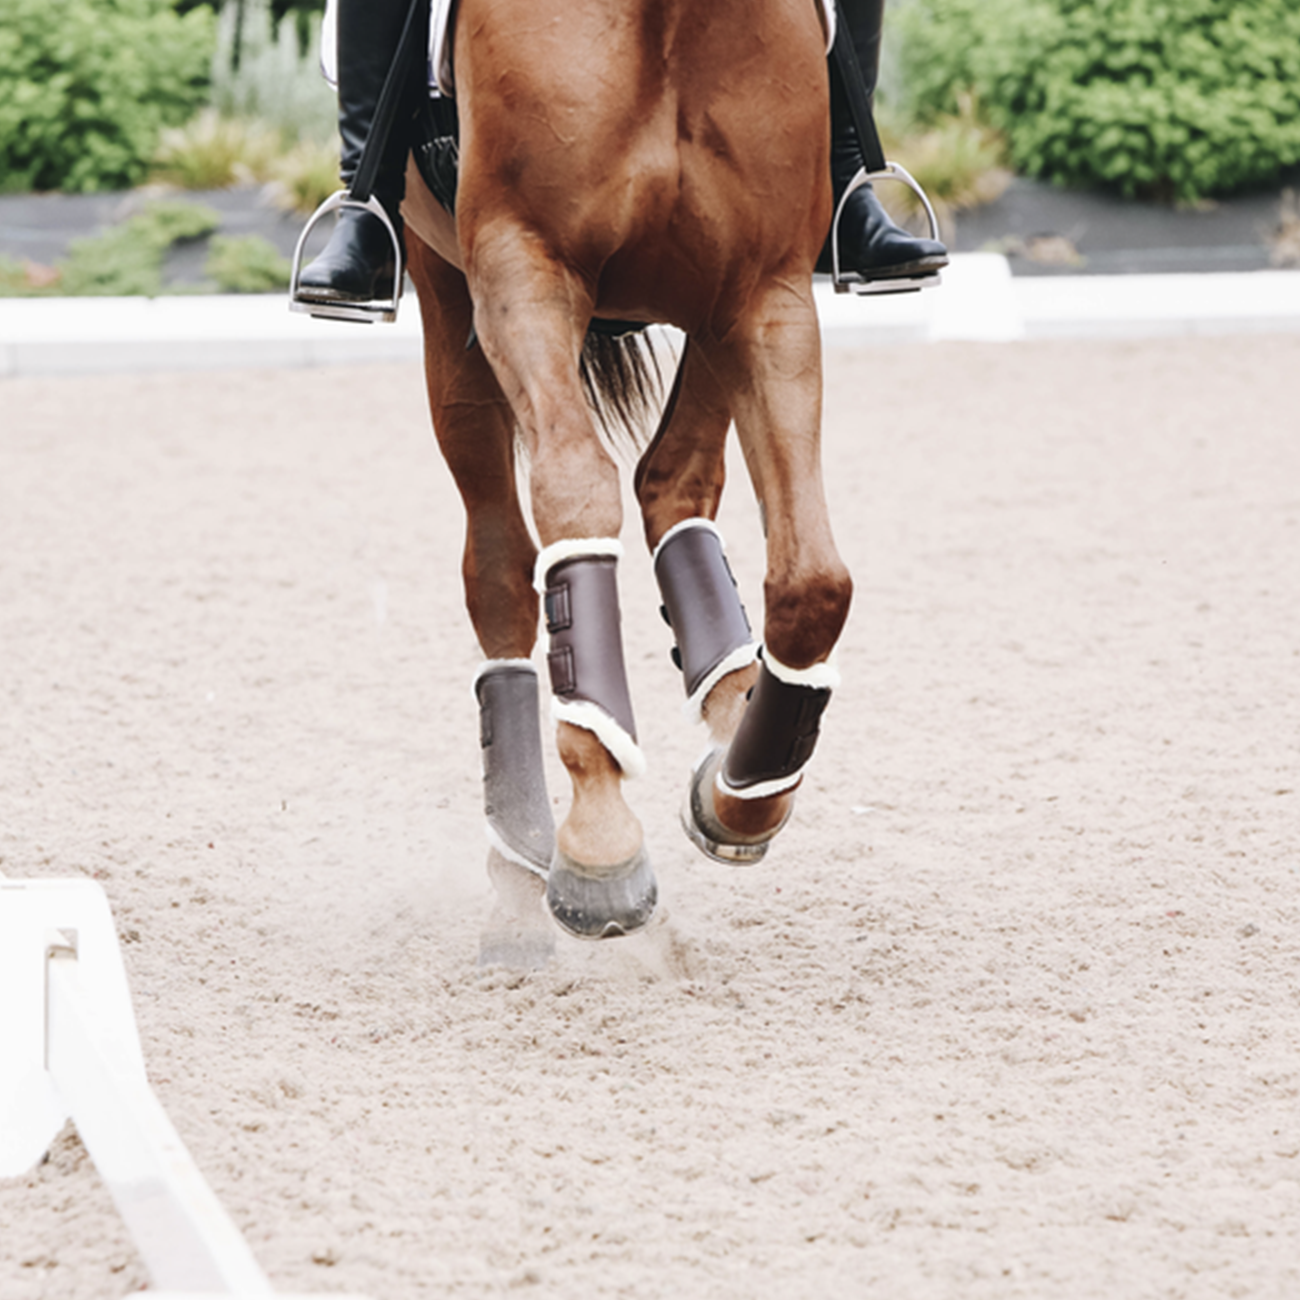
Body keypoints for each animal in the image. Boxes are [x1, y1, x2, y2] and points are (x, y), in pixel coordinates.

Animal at [405, 0, 852, 941]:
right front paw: (598, 838)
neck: (673, 17)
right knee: (497, 564)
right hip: (448, 303)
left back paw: (730, 688)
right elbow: (575, 501)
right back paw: (523, 836)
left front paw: (744, 791)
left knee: (672, 478)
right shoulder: (521, 269)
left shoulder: (766, 293)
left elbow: (814, 580)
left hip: (715, 310)